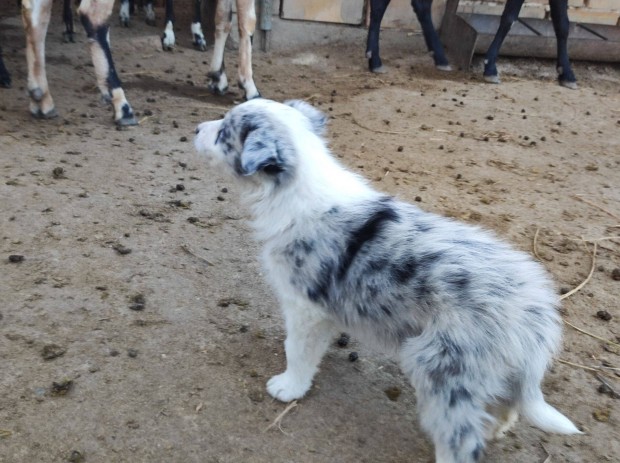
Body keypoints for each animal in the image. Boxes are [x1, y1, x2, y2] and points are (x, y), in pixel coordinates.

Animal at [195, 99, 580, 462]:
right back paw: (497, 428)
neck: (296, 188)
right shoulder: (326, 312)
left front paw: (288, 387)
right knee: (506, 405)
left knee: (461, 441)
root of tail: (535, 311)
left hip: (442, 368)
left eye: (223, 133)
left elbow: (298, 350)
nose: (197, 128)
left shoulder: (305, 307)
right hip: (492, 368)